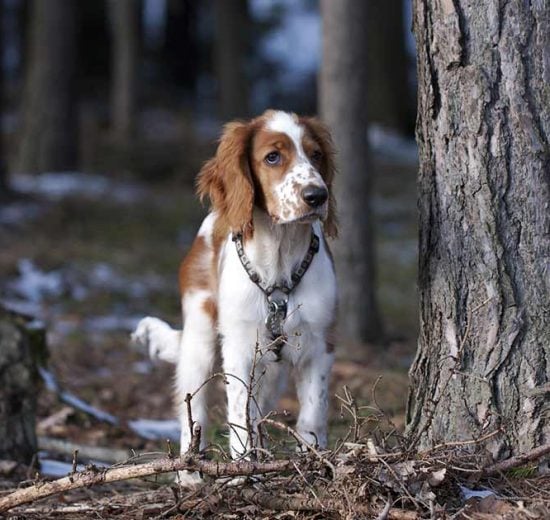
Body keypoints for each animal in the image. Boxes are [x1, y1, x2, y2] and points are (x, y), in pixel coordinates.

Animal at [136, 109, 338, 484]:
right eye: (272, 157)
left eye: (316, 154)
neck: (279, 258)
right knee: (192, 409)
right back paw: (189, 473)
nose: (317, 196)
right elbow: (238, 416)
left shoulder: (320, 344)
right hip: (199, 341)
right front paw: (243, 471)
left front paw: (314, 464)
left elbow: (312, 414)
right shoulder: (240, 348)